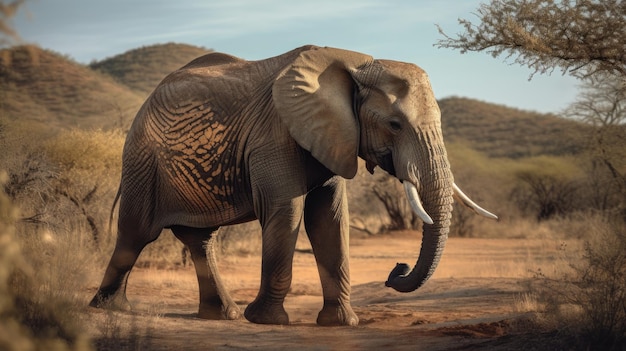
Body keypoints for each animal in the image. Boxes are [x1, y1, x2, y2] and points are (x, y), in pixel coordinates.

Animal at [89, 44, 498, 328]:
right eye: (395, 125)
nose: (395, 269)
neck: (357, 62)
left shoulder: (333, 136)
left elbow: (330, 219)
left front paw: (341, 324)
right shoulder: (274, 135)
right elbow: (287, 210)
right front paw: (267, 321)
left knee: (199, 239)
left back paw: (224, 316)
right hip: (142, 159)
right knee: (135, 233)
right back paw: (109, 308)